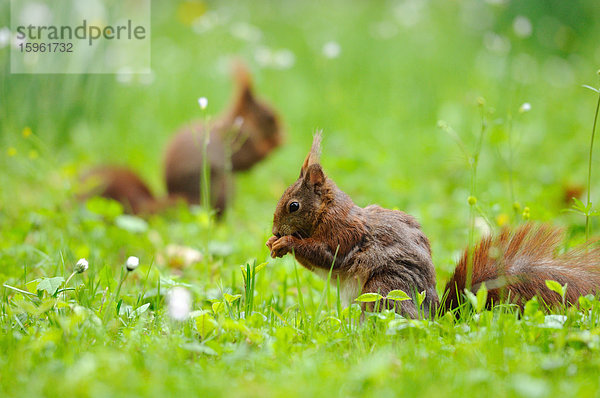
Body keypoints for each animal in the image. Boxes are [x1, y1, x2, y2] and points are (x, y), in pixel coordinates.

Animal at [81, 61, 284, 218]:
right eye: (269, 116)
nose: (284, 135)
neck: (241, 121)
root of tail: (184, 199)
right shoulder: (238, 139)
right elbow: (247, 159)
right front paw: (272, 144)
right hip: (220, 186)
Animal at [268, 132, 600, 318]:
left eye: (293, 206)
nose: (273, 232)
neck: (326, 212)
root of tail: (436, 316)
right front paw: (274, 244)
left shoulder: (344, 234)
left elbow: (326, 256)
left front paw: (286, 242)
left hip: (384, 289)